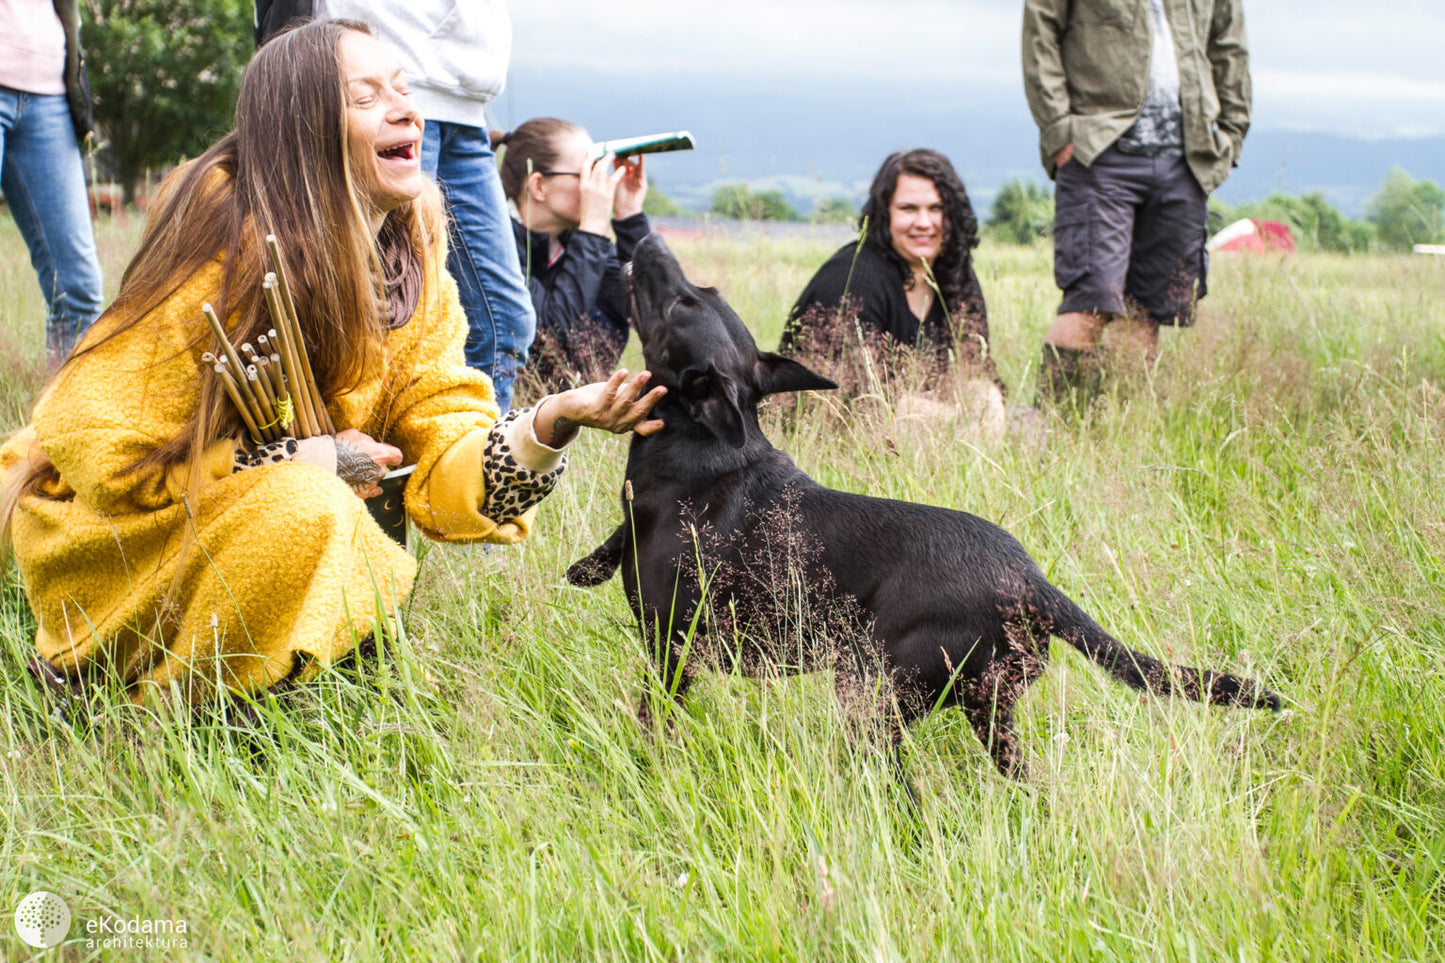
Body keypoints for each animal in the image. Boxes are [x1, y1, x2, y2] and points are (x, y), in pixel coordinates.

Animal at [563, 234, 1277, 780]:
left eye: (680, 301)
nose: (648, 241)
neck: (701, 443)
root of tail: (1031, 583)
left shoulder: (672, 648)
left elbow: (655, 720)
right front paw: (590, 563)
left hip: (878, 694)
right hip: (990, 710)